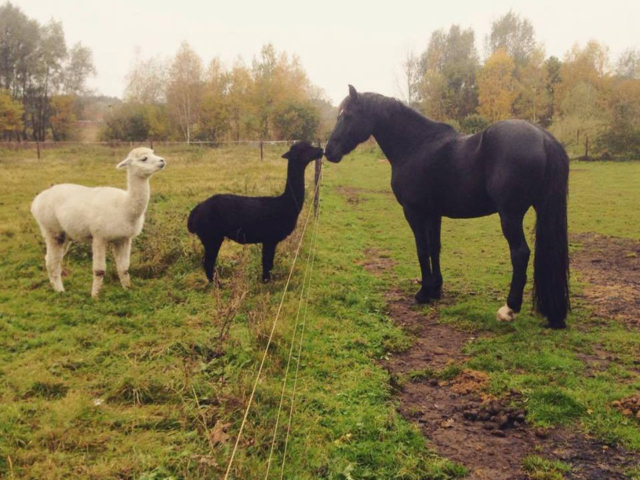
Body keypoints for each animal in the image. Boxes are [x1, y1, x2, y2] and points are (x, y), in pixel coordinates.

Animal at [328, 84, 568, 328]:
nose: (329, 151)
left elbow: (422, 249)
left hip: (510, 215)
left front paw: (423, 293)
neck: (416, 146)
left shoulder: (413, 212)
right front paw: (436, 289)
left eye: (347, 116)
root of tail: (544, 138)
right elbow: (435, 247)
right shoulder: (433, 213)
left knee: (520, 254)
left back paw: (509, 309)